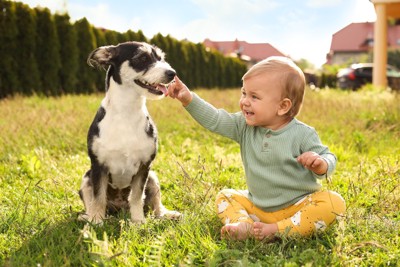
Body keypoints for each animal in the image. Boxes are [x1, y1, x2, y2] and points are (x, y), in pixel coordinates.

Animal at [78, 40, 181, 225]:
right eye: (142, 58)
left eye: (161, 58)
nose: (172, 74)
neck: (126, 112)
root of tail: (119, 208)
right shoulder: (98, 166)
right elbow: (98, 197)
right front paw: (96, 222)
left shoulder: (145, 166)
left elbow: (137, 196)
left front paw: (138, 221)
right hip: (86, 178)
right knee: (91, 201)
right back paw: (87, 216)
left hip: (153, 177)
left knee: (156, 204)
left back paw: (167, 214)